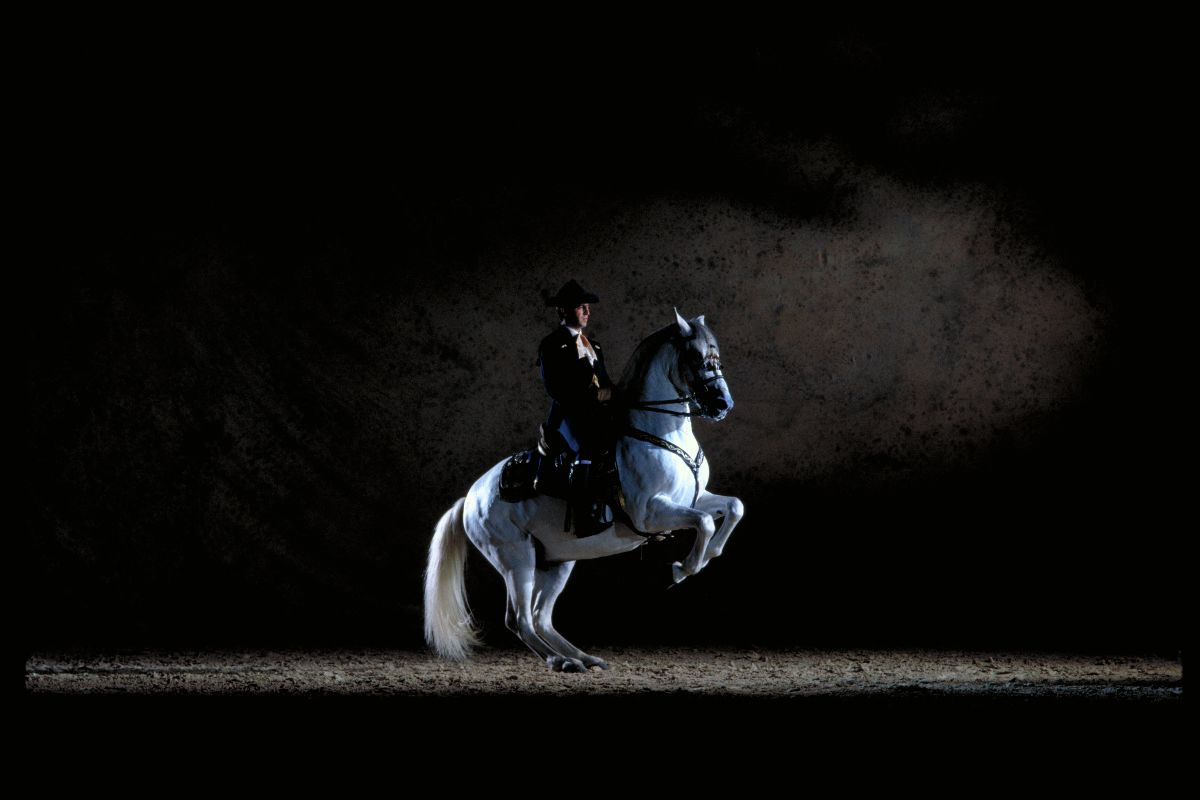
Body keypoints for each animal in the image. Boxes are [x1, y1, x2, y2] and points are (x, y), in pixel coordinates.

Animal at [422, 309, 739, 671]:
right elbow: (705, 522)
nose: (723, 404)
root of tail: (470, 498)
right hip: (515, 559)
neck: (660, 434)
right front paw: (682, 569)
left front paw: (707, 556)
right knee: (519, 619)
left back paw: (583, 658)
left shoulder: (694, 499)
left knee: (541, 617)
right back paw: (560, 661)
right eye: (696, 357)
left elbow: (732, 507)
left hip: (558, 562)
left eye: (717, 357)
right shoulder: (651, 513)